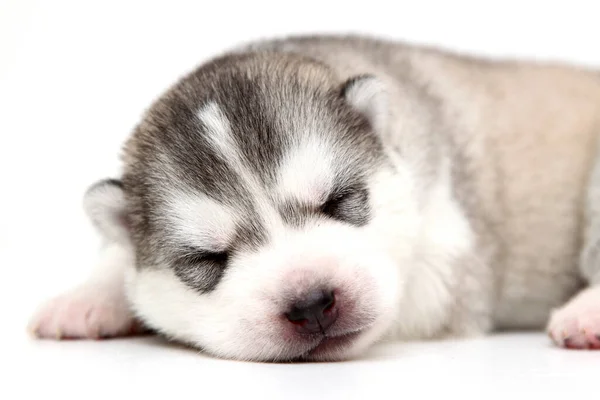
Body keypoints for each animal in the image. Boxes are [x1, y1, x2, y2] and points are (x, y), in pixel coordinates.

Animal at [28, 36, 600, 360]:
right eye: (208, 259)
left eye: (338, 200)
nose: (310, 303)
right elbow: (118, 254)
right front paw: (86, 298)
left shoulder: (448, 262)